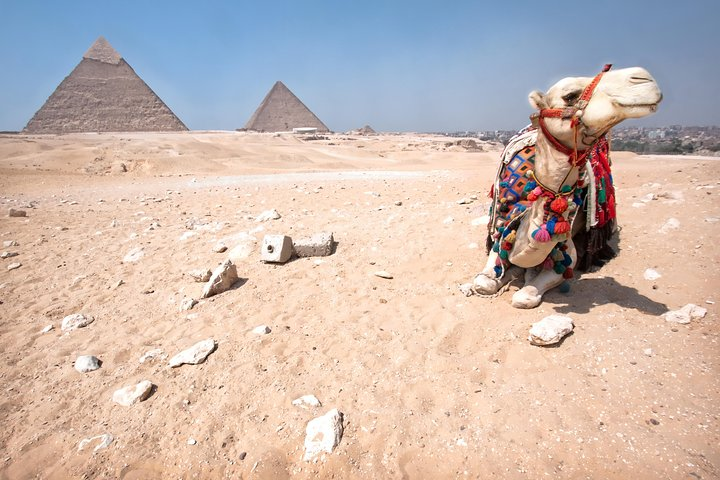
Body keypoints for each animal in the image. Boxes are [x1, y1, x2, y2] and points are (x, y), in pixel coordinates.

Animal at [471, 65, 662, 308]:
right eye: (570, 96)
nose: (642, 77)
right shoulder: (500, 231)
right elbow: (483, 282)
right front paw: (511, 272)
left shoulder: (566, 253)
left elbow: (526, 295)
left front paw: (527, 276)